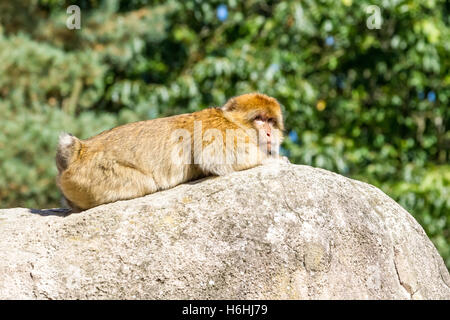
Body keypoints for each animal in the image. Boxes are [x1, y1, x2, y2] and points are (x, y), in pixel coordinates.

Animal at [54, 93, 284, 212]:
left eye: (271, 121)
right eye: (259, 119)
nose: (269, 132)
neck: (232, 120)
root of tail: (80, 149)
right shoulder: (222, 130)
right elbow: (215, 159)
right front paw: (275, 160)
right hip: (94, 176)